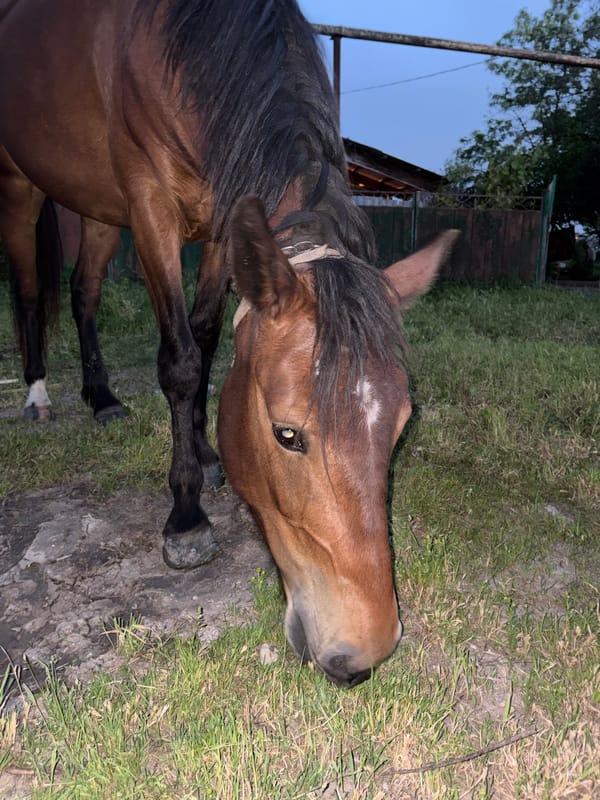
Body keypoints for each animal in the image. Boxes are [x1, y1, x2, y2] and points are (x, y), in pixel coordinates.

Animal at [0, 0, 456, 687]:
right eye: (286, 435)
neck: (179, 47)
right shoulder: (151, 209)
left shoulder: (225, 223)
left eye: (401, 427)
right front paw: (186, 515)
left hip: (99, 208)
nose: (362, 654)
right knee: (31, 292)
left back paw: (101, 397)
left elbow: (210, 338)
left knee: (84, 293)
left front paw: (206, 454)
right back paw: (37, 396)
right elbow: (182, 361)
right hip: (22, 187)